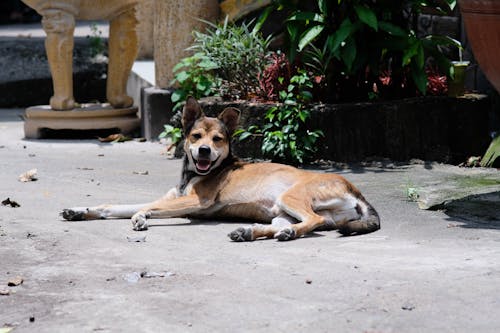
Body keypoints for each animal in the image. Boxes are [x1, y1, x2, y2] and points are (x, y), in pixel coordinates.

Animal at [61, 96, 378, 241]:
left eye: (218, 139)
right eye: (196, 136)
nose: (203, 151)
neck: (193, 175)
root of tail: (355, 190)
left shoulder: (194, 202)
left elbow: (145, 209)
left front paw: (141, 217)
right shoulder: (173, 199)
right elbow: (113, 206)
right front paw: (79, 211)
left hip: (291, 198)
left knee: (313, 220)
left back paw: (281, 234)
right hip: (281, 211)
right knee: (293, 224)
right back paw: (249, 232)